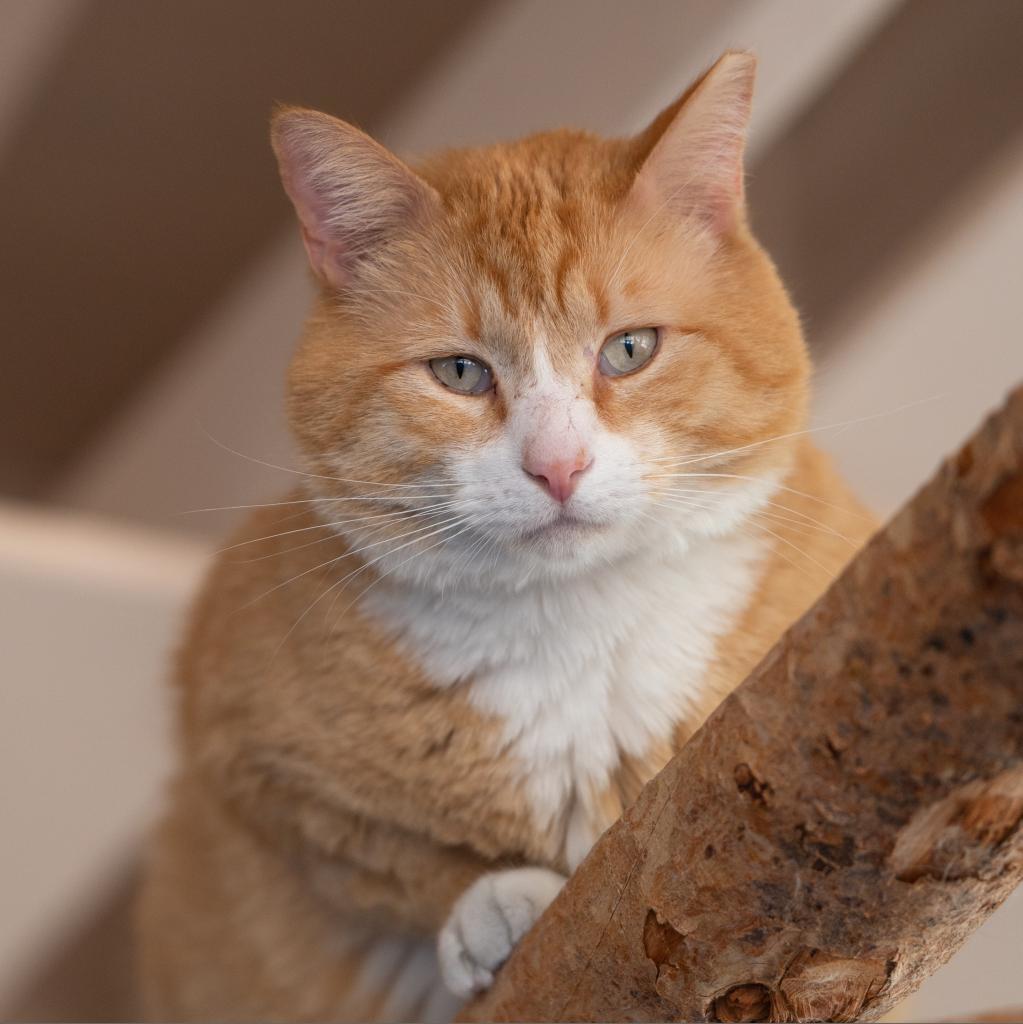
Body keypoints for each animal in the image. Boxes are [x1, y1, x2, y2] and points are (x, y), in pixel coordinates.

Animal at [134, 51, 872, 1019]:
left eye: (629, 349)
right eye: (458, 371)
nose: (557, 466)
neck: (579, 627)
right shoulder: (247, 755)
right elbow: (394, 864)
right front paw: (497, 900)